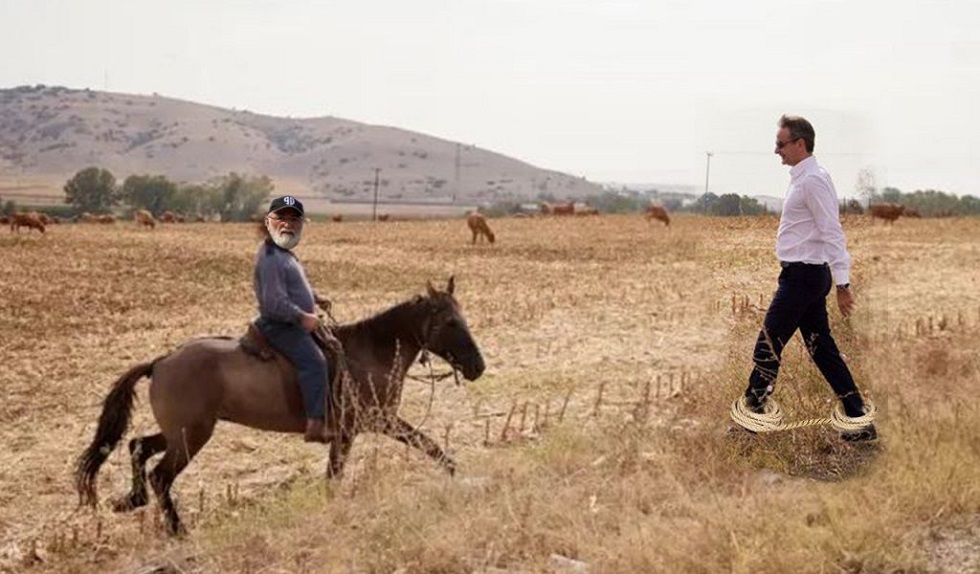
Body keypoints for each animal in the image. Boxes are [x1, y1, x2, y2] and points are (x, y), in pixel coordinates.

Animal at [77, 280, 486, 536]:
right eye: (451, 322)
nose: (477, 366)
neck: (370, 352)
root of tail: (161, 361)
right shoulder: (371, 424)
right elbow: (422, 444)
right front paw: (453, 473)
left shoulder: (360, 429)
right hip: (190, 437)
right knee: (160, 476)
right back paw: (178, 530)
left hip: (179, 433)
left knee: (138, 446)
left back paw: (133, 500)